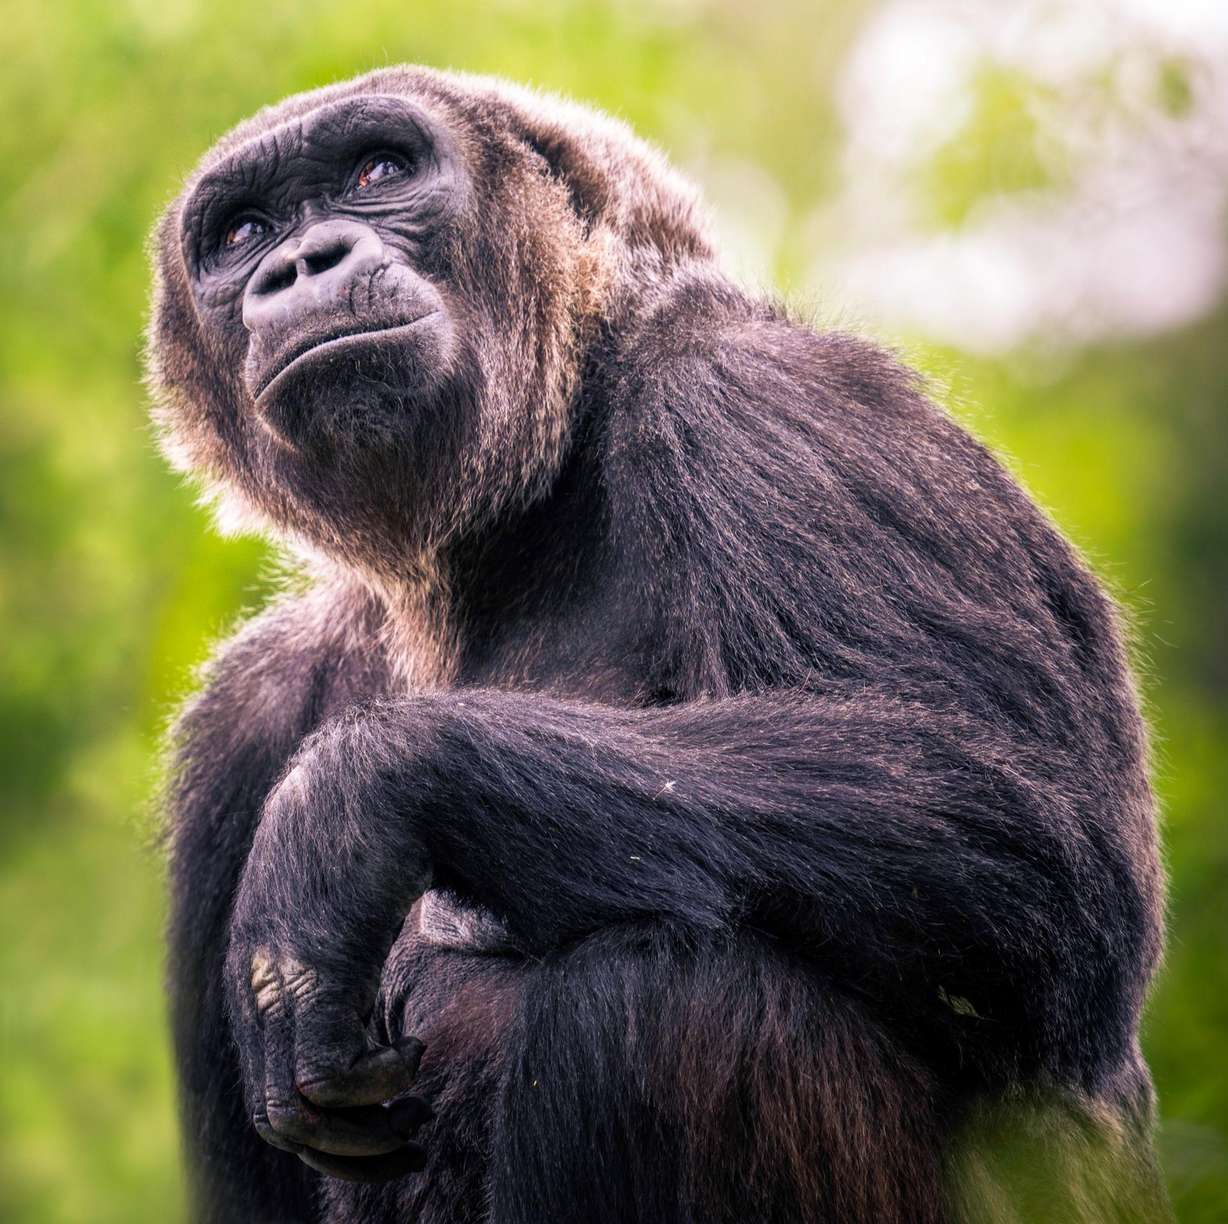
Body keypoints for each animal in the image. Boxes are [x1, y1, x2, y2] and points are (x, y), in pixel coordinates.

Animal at [146, 66, 1171, 1223]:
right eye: (243, 232)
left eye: (376, 170)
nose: (299, 262)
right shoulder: (243, 717)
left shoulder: (772, 402)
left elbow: (1035, 844)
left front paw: (346, 812)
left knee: (668, 995)